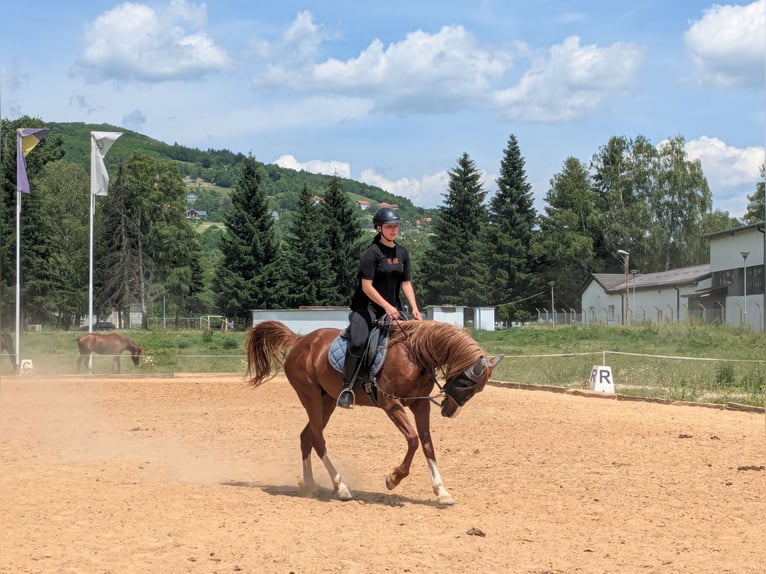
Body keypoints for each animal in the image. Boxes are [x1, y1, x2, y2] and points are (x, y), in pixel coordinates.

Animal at [245, 320, 503, 505]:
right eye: (466, 384)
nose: (450, 412)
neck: (414, 354)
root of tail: (301, 341)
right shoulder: (391, 404)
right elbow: (413, 439)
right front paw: (393, 478)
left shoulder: (421, 405)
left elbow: (427, 443)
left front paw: (442, 492)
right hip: (311, 398)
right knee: (318, 439)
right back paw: (341, 487)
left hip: (327, 401)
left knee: (306, 437)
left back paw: (310, 485)